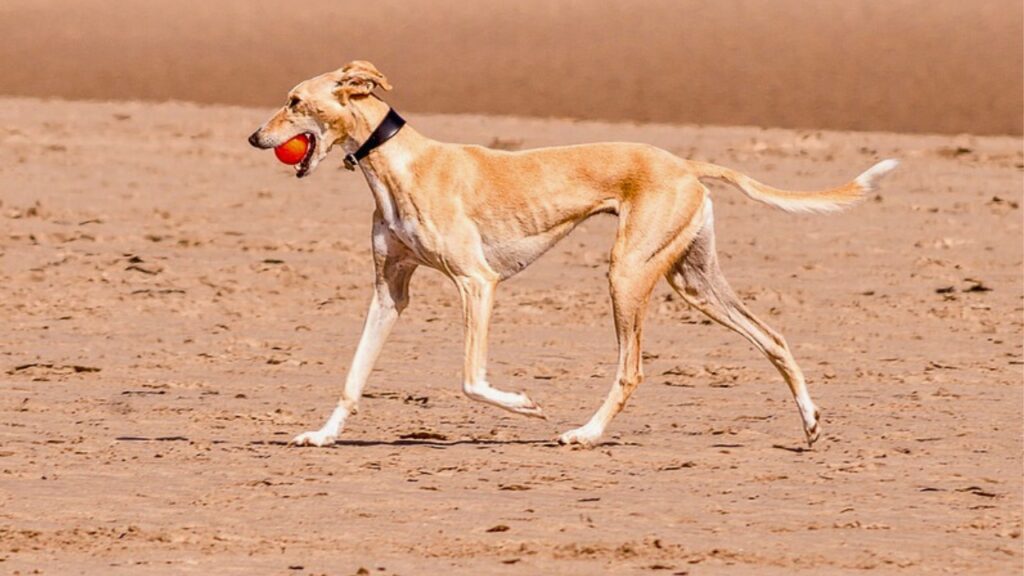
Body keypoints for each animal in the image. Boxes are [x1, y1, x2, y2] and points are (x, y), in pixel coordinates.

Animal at [247, 61, 897, 448]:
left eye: (294, 101)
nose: (255, 138)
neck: (398, 164)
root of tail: (685, 164)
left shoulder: (477, 283)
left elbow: (471, 379)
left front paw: (526, 405)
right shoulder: (389, 293)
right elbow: (354, 376)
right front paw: (322, 435)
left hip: (627, 274)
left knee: (632, 368)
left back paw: (584, 433)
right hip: (693, 281)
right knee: (774, 338)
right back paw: (809, 422)